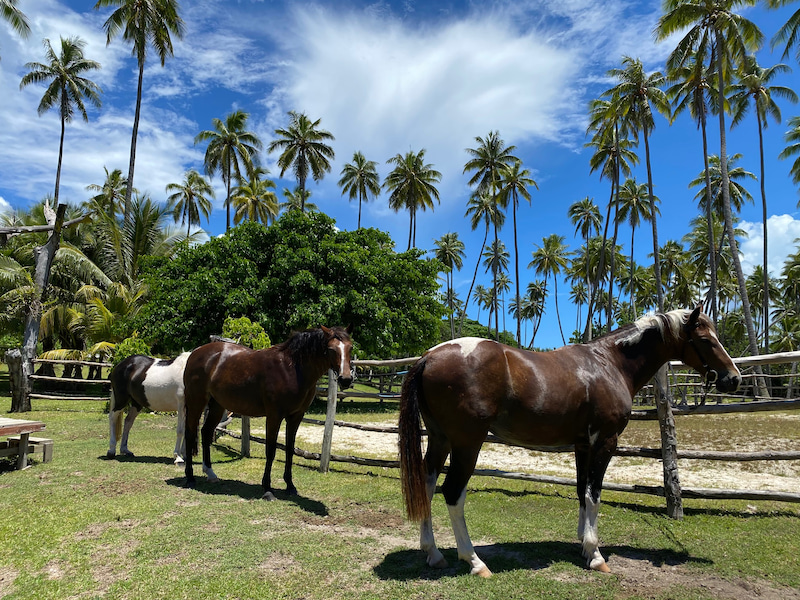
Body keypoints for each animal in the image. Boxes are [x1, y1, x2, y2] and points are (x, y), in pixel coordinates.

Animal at [186, 326, 354, 500]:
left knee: (205, 432)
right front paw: (267, 489)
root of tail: (195, 353)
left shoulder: (296, 417)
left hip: (217, 406)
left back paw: (210, 473)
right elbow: (271, 450)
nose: (346, 379)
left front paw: (290, 486)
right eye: (331, 349)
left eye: (350, 348)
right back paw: (190, 478)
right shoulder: (274, 416)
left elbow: (290, 449)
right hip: (195, 403)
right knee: (190, 434)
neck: (292, 369)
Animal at [396, 308, 740, 580]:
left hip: (440, 440)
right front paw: (596, 555)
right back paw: (475, 562)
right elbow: (595, 494)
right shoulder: (605, 442)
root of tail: (429, 357)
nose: (734, 378)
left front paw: (583, 546)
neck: (609, 363)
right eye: (706, 340)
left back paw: (433, 554)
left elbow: (580, 492)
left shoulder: (583, 446)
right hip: (467, 443)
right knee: (453, 493)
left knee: (426, 485)